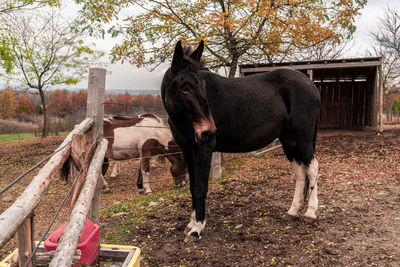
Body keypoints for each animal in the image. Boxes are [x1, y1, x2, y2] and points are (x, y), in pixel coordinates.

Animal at [161, 40, 320, 243]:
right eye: (184, 87)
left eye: (203, 86)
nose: (209, 132)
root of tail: (311, 85)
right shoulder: (187, 150)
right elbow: (192, 187)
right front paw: (191, 224)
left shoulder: (202, 150)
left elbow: (200, 188)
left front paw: (197, 229)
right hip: (289, 140)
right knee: (300, 172)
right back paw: (293, 210)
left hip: (303, 138)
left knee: (312, 169)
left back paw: (310, 213)